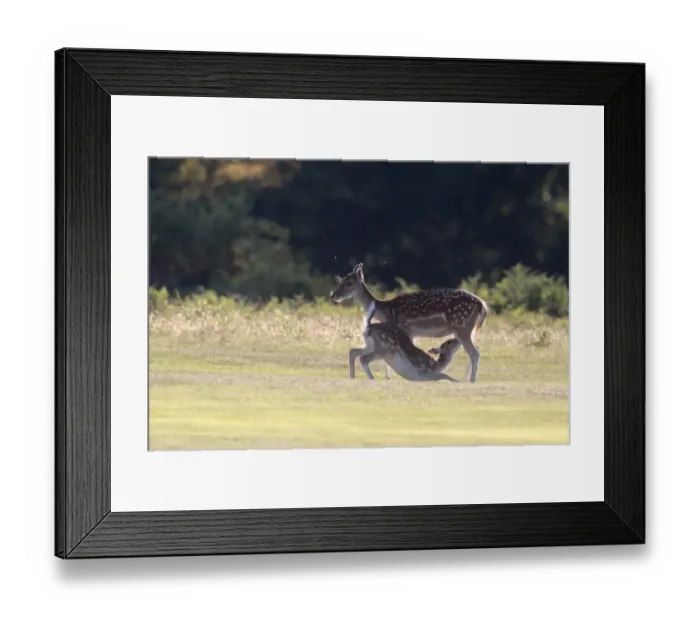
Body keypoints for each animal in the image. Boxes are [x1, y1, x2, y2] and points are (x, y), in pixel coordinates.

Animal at [331, 263, 488, 382]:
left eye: (349, 283)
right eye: (341, 280)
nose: (334, 295)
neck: (385, 311)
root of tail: (483, 305)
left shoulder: (405, 328)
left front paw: (391, 376)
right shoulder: (408, 332)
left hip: (462, 327)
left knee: (474, 352)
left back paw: (471, 380)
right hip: (469, 329)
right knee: (476, 349)